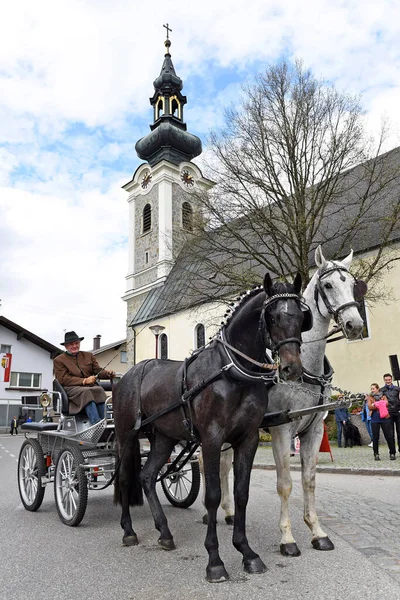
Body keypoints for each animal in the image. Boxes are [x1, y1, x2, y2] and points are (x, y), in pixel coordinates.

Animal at [112, 272, 310, 580]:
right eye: (272, 316)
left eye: (301, 317)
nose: (292, 368)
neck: (233, 370)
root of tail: (128, 374)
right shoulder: (212, 439)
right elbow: (213, 496)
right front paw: (215, 560)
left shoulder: (248, 438)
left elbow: (241, 494)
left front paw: (246, 551)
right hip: (126, 435)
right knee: (124, 478)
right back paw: (129, 531)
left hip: (164, 437)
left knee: (146, 476)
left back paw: (164, 532)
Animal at [200, 247, 366, 552]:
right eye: (327, 285)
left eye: (352, 284)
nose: (355, 324)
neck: (307, 370)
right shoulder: (281, 429)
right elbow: (285, 483)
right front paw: (287, 537)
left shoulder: (315, 429)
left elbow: (309, 480)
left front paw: (317, 531)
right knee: (206, 466)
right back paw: (210, 513)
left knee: (224, 465)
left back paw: (228, 512)